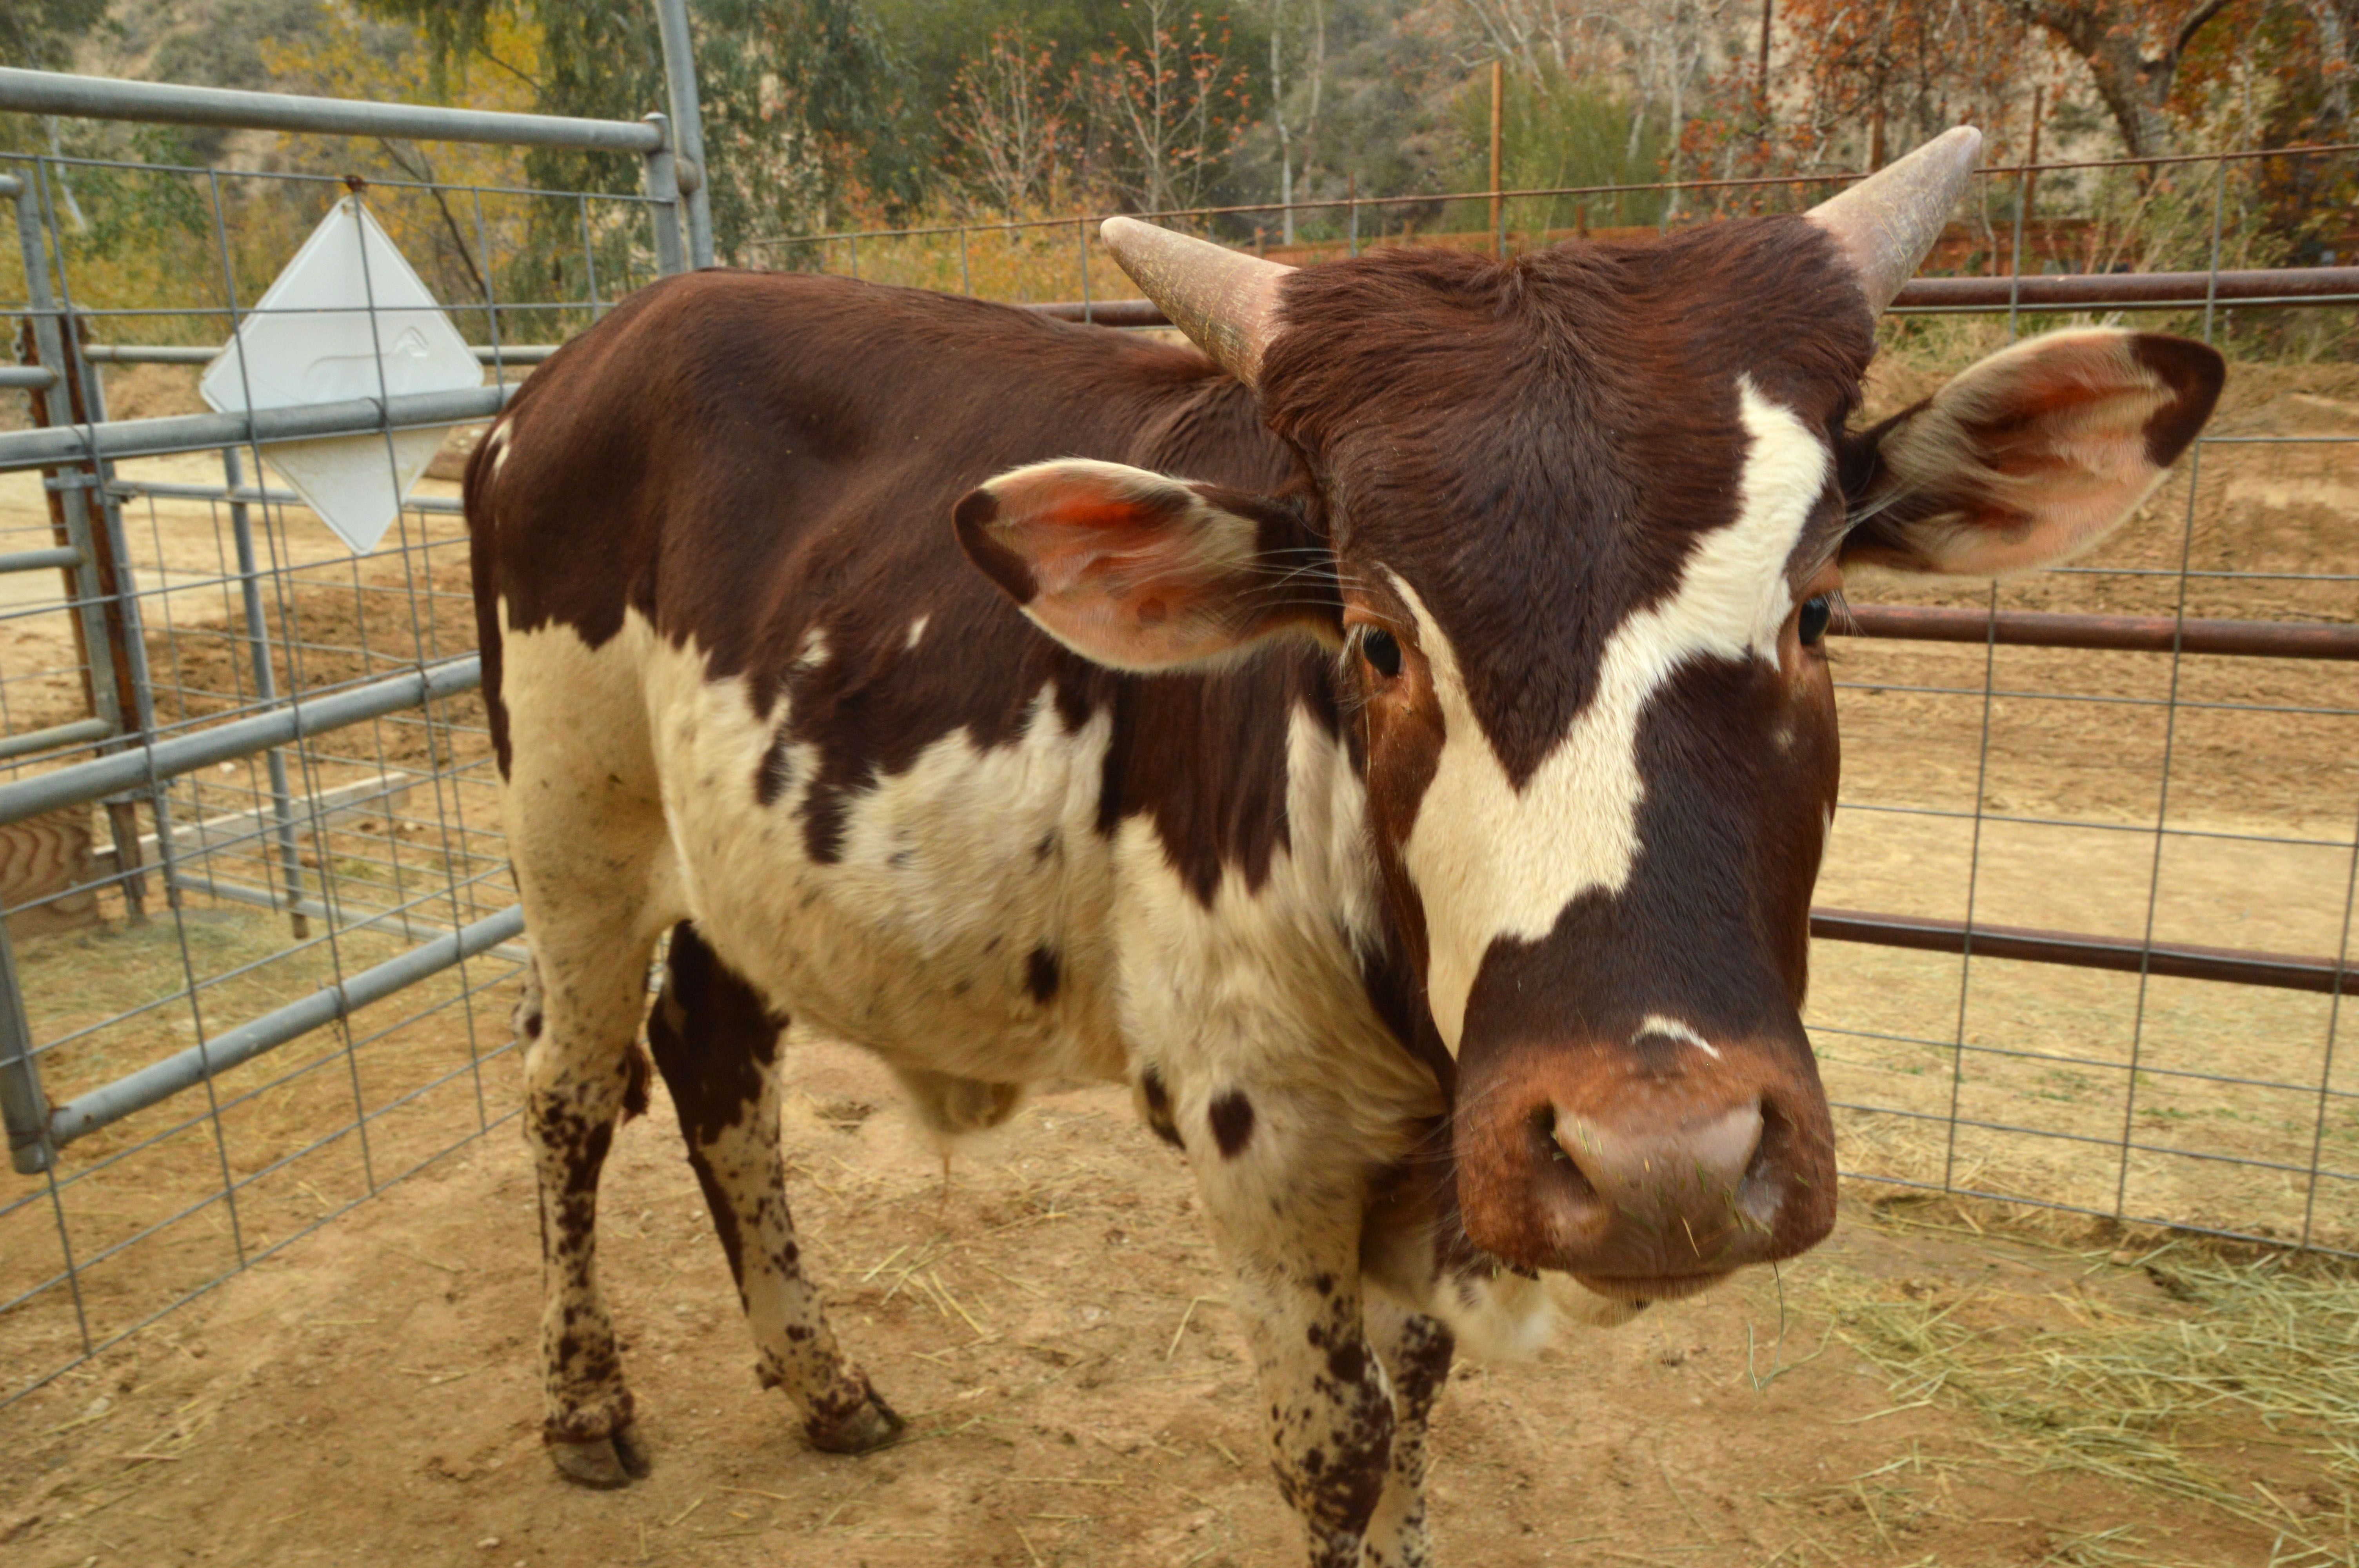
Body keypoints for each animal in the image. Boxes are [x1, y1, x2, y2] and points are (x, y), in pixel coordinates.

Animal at [469, 131, 2217, 1565]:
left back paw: (822, 1380)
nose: (1664, 1162)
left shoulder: (1442, 1176)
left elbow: (1422, 1397)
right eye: (1375, 641)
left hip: (736, 871)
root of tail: (573, 368)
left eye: (1817, 613)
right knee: (571, 1094)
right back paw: (579, 1404)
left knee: (718, 1065)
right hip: (574, 836)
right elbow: (1341, 1450)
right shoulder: (1269, 1151)